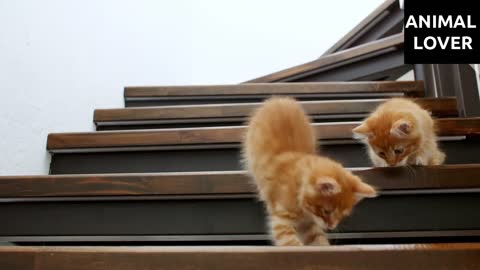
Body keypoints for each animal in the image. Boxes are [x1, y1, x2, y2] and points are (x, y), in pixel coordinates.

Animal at [242, 97, 376, 247]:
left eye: (342, 215)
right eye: (327, 211)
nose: (331, 227)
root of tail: (279, 99)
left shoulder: (309, 225)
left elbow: (318, 239)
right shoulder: (281, 220)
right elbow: (292, 243)